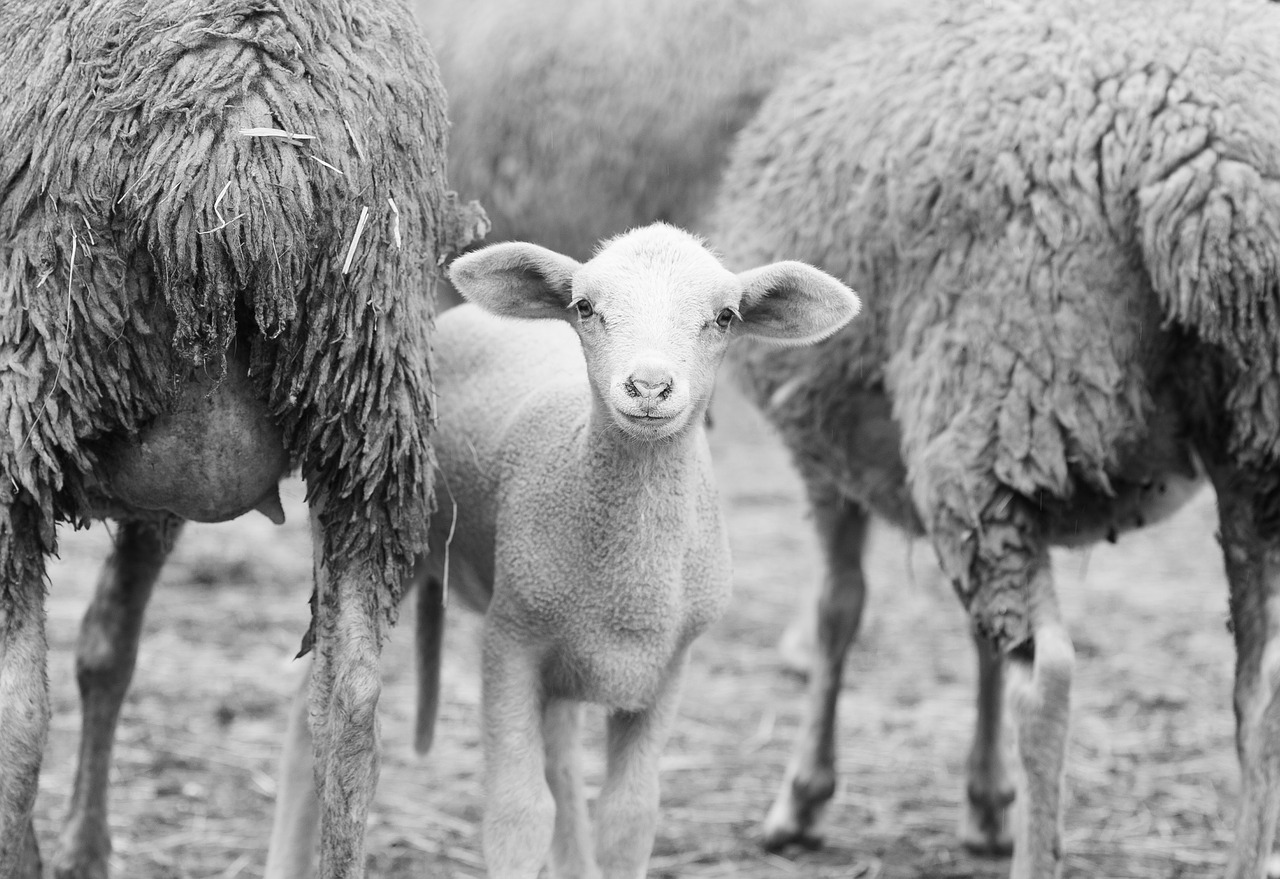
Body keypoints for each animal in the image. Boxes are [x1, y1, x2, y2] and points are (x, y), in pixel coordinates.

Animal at [0, 3, 483, 875]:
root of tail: (242, 123)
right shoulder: (159, 490)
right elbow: (108, 645)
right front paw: (86, 846)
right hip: (372, 392)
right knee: (351, 704)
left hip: (32, 383)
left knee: (18, 715)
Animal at [259, 223, 860, 875]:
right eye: (585, 307)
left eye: (725, 316)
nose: (649, 387)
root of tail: (458, 317)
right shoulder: (510, 643)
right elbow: (519, 814)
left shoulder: (667, 667)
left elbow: (628, 817)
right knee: (313, 713)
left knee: (563, 755)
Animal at [711, 1, 1280, 875]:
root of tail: (1214, 161)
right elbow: (972, 641)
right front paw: (983, 802)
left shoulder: (827, 453)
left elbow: (840, 608)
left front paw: (802, 798)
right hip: (1250, 438)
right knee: (1261, 685)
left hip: (993, 400)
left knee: (1048, 679)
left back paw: (1037, 853)